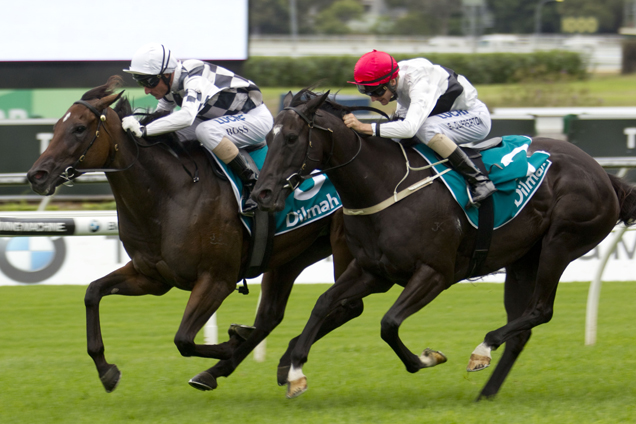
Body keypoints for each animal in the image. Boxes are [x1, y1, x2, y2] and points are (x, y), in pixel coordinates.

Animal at [26, 77, 352, 394]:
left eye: (79, 128)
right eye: (56, 127)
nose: (36, 175)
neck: (170, 195)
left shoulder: (217, 279)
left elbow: (183, 339)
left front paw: (233, 339)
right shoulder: (151, 277)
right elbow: (93, 292)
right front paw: (106, 371)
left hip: (344, 246)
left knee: (346, 305)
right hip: (294, 253)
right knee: (273, 315)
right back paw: (242, 368)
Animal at [252, 89, 636, 400]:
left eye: (291, 137)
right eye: (267, 138)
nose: (262, 193)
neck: (385, 184)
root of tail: (603, 174)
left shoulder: (435, 273)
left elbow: (388, 323)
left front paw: (425, 358)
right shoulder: (372, 271)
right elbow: (323, 303)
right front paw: (295, 372)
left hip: (561, 243)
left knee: (541, 310)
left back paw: (483, 348)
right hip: (523, 260)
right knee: (522, 327)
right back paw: (486, 394)